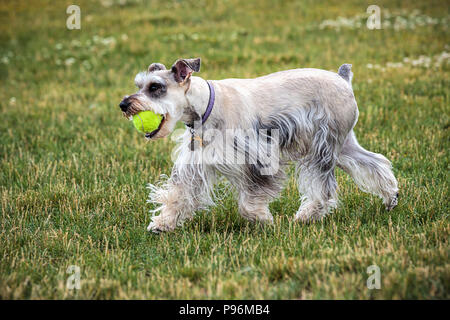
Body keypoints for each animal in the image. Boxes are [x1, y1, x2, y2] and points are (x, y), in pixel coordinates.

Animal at [118, 58, 398, 232]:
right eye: (139, 85)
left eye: (156, 87)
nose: (124, 104)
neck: (206, 104)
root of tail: (343, 79)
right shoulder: (195, 163)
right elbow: (179, 193)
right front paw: (162, 224)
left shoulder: (259, 158)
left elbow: (250, 198)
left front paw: (262, 218)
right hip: (344, 145)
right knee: (374, 162)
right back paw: (391, 196)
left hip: (323, 148)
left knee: (323, 188)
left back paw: (305, 216)